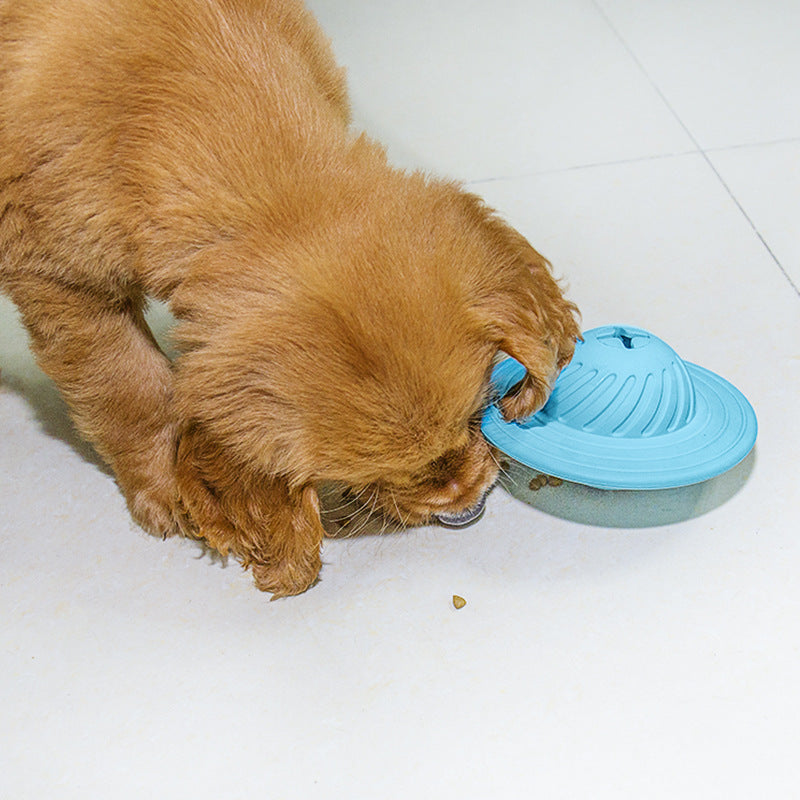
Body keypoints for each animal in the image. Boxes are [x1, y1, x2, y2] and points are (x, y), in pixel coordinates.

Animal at [0, 0, 576, 592]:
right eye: (371, 473)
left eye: (476, 414)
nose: (465, 502)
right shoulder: (62, 282)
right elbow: (127, 388)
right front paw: (165, 488)